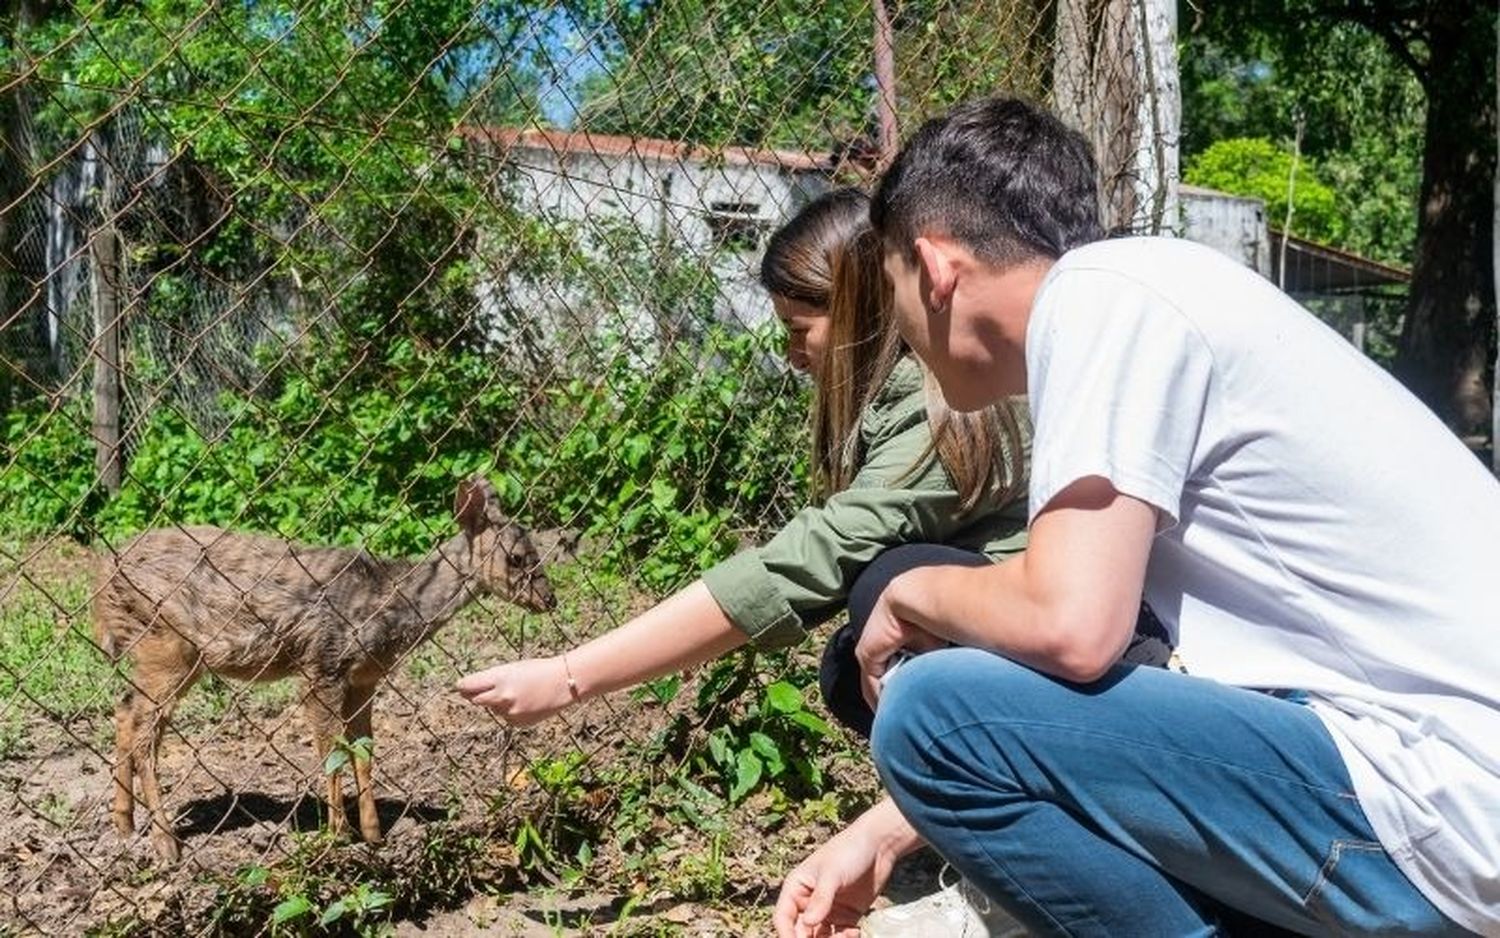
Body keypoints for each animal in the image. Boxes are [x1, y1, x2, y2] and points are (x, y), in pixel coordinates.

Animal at [93, 480, 555, 858]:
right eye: (517, 558)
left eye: (538, 554)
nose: (550, 599)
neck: (390, 607)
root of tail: (103, 580)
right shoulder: (322, 663)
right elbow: (332, 751)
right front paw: (338, 835)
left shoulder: (364, 679)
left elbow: (364, 751)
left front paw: (373, 834)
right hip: (164, 643)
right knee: (144, 731)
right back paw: (165, 843)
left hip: (168, 656)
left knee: (125, 710)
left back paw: (125, 825)